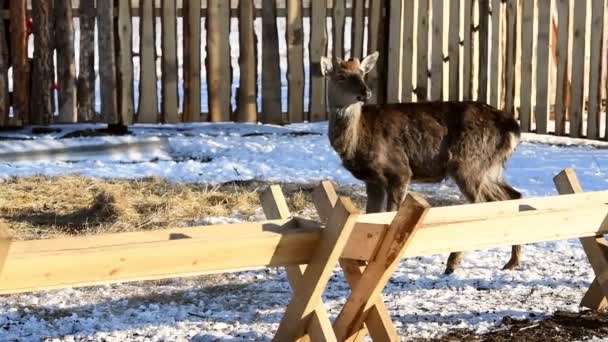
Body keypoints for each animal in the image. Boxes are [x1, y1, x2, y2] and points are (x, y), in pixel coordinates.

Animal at [320, 52, 524, 274]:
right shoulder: (373, 181)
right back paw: (512, 261)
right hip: (490, 169)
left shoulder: (400, 170)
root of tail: (512, 128)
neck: (358, 139)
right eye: (341, 76)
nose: (366, 92)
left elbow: (391, 214)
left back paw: (453, 262)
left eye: (362, 73)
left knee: (481, 204)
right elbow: (372, 214)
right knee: (513, 195)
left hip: (469, 164)